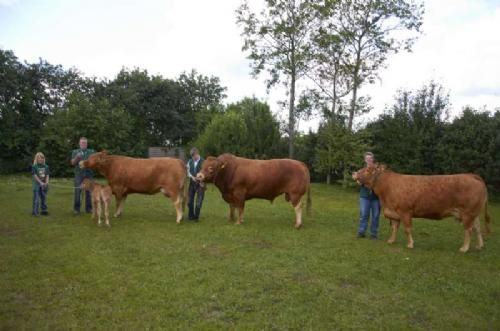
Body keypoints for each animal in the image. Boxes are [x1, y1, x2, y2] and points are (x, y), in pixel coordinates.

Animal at [354, 166, 490, 254]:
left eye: (367, 170)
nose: (354, 173)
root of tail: (471, 175)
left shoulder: (405, 212)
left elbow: (407, 229)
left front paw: (410, 244)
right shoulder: (394, 212)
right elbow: (394, 228)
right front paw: (391, 240)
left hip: (467, 213)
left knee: (468, 230)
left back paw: (464, 248)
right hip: (474, 213)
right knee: (477, 228)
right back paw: (479, 246)